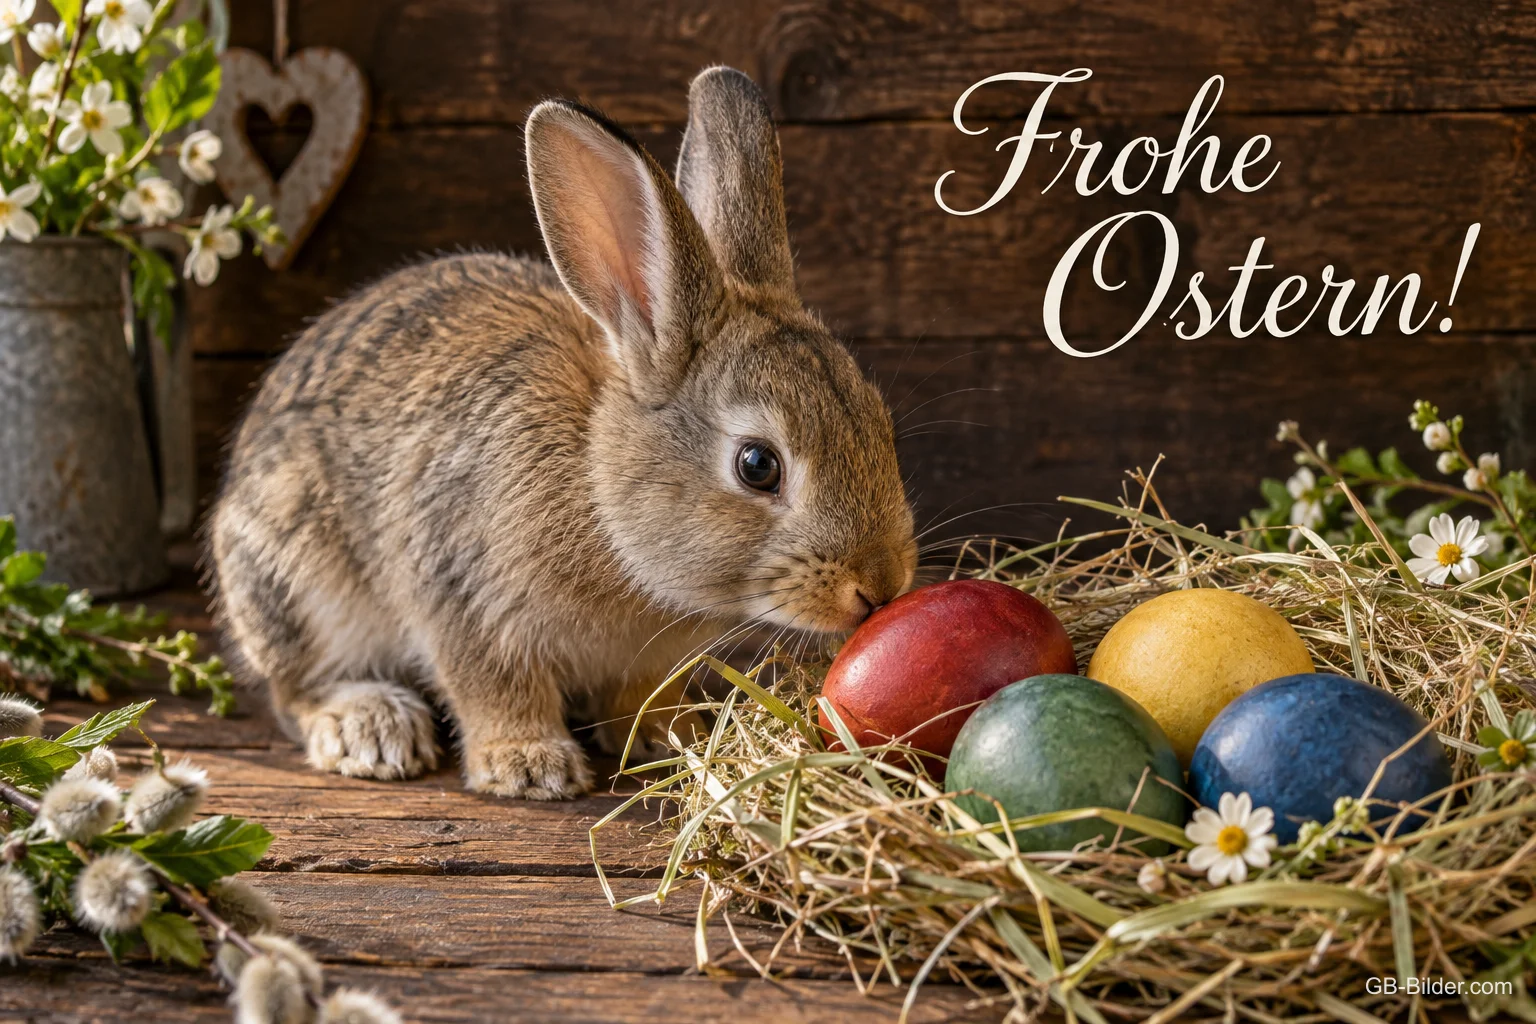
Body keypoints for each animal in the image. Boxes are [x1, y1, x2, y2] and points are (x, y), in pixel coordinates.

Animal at [207, 66, 917, 799]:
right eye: (757, 465)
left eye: (878, 419)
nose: (880, 587)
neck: (599, 490)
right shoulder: (465, 598)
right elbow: (493, 688)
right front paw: (527, 765)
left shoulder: (643, 660)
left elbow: (637, 697)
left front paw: (670, 738)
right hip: (295, 585)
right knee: (294, 690)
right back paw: (369, 727)